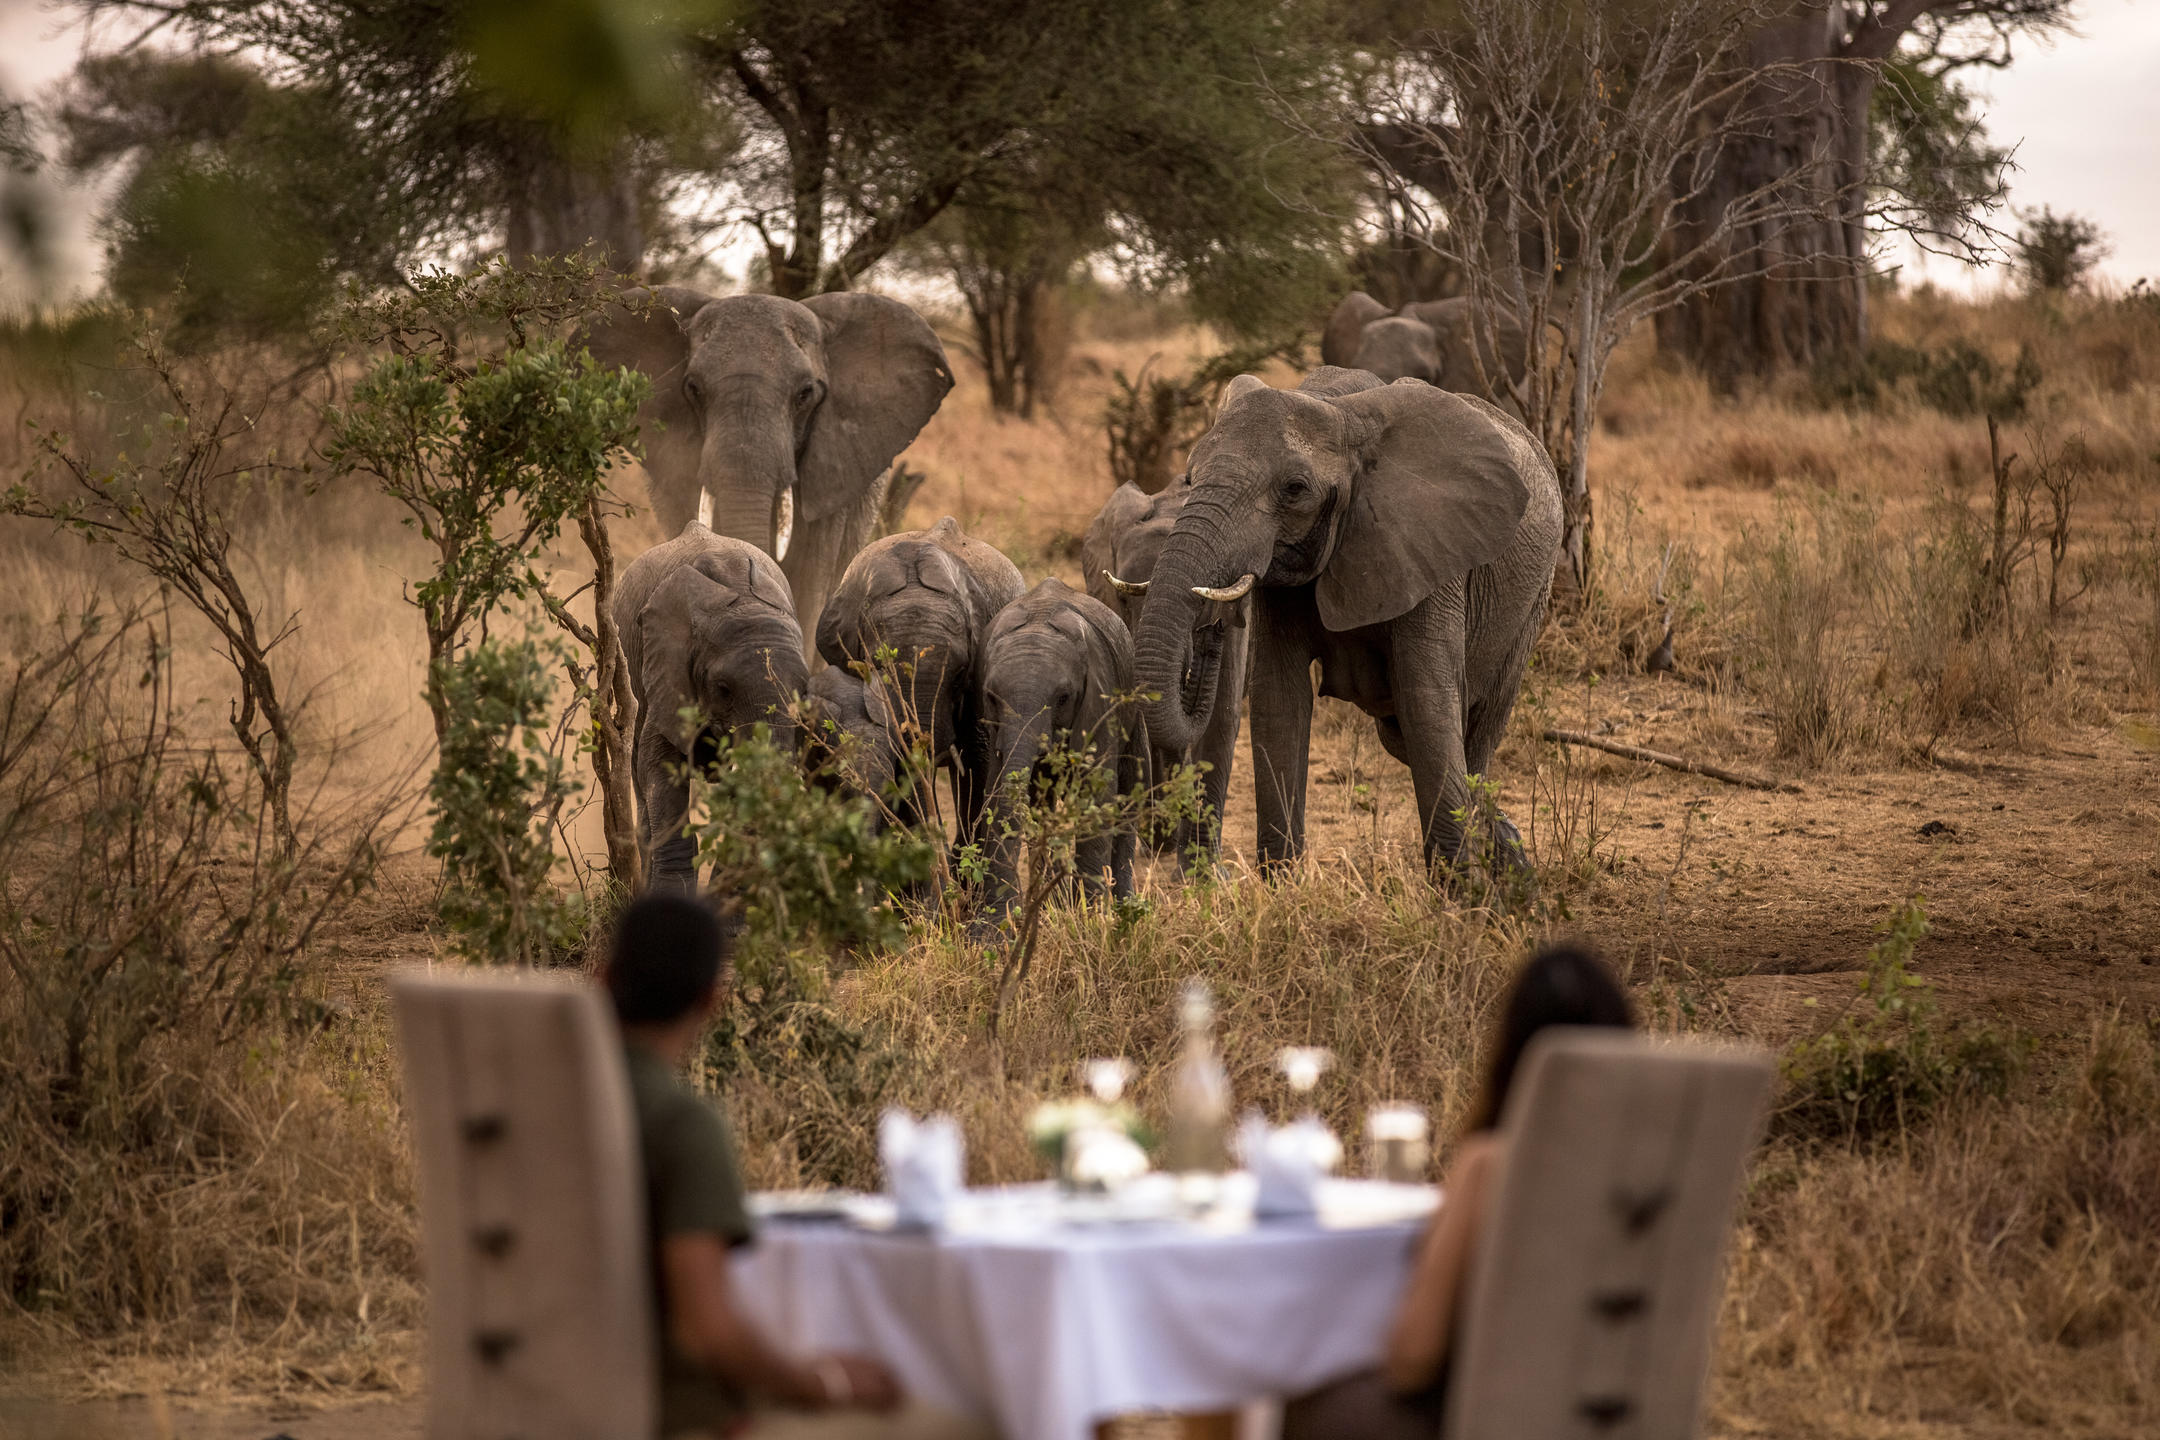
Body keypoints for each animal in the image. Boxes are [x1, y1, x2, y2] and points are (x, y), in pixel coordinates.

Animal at [976, 577, 1143, 918]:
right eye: (992, 697)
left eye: (1063, 698)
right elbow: (998, 791)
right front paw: (993, 927)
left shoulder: (1101, 699)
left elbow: (1099, 791)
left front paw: (1092, 920)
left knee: (1128, 788)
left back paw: (1125, 907)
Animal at [1128, 367, 1562, 875]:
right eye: (1190, 476)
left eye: (1295, 489)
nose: (1215, 624)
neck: (1337, 410)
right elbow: (1280, 699)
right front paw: (1283, 883)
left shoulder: (1431, 554)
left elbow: (1426, 701)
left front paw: (1458, 890)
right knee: (1403, 738)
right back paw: (1510, 856)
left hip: (1533, 601)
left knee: (1475, 730)